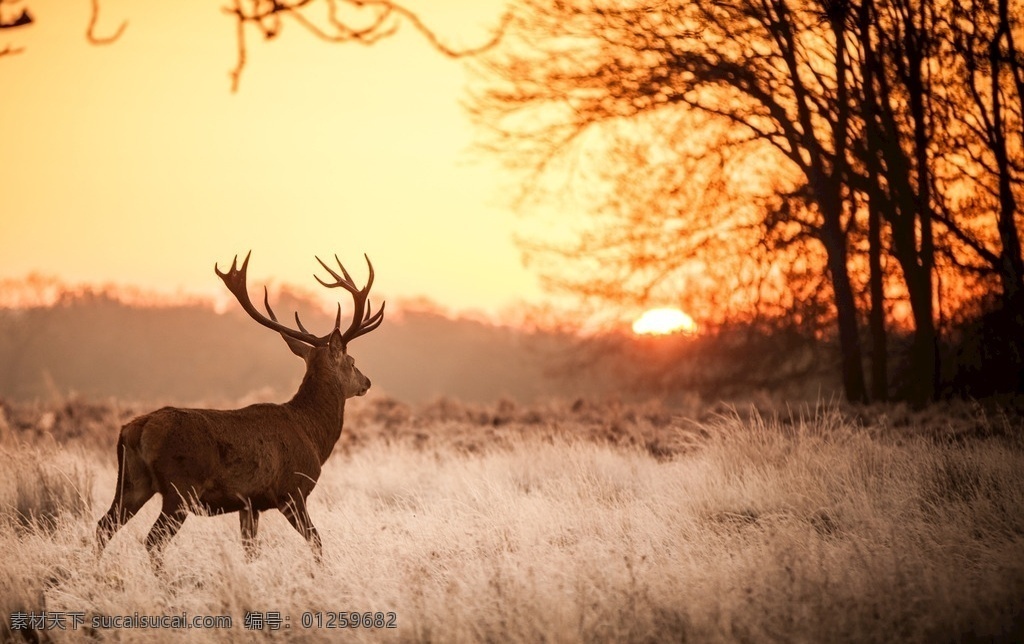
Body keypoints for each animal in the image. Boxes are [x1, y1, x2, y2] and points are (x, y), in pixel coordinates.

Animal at [95, 251, 383, 566]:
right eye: (352, 361)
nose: (367, 382)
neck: (312, 434)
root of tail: (136, 429)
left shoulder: (249, 503)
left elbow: (250, 550)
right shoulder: (292, 491)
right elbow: (317, 541)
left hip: (132, 482)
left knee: (104, 526)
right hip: (180, 488)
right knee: (153, 540)